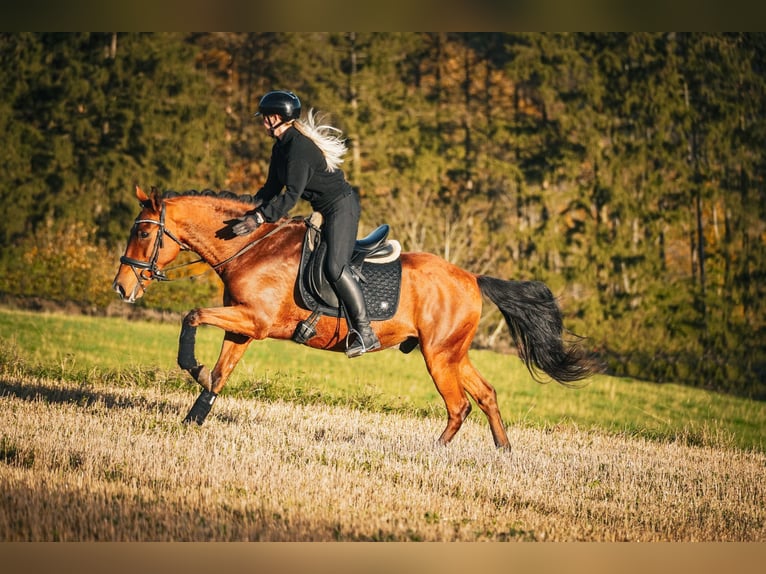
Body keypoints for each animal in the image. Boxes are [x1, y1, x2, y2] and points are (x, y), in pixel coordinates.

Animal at [111, 187, 596, 452]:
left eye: (143, 231)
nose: (121, 287)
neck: (250, 247)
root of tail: (473, 278)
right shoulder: (240, 325)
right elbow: (219, 374)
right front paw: (192, 420)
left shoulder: (255, 321)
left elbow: (192, 317)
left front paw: (189, 366)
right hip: (453, 353)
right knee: (487, 395)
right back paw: (503, 452)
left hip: (439, 356)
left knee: (459, 406)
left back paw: (435, 452)